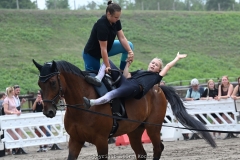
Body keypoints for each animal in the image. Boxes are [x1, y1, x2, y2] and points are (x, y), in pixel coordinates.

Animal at [32, 60, 216, 160]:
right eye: (39, 83)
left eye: (53, 83)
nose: (48, 111)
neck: (82, 108)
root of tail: (159, 88)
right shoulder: (75, 140)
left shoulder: (101, 141)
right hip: (135, 131)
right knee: (141, 153)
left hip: (153, 128)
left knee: (158, 148)